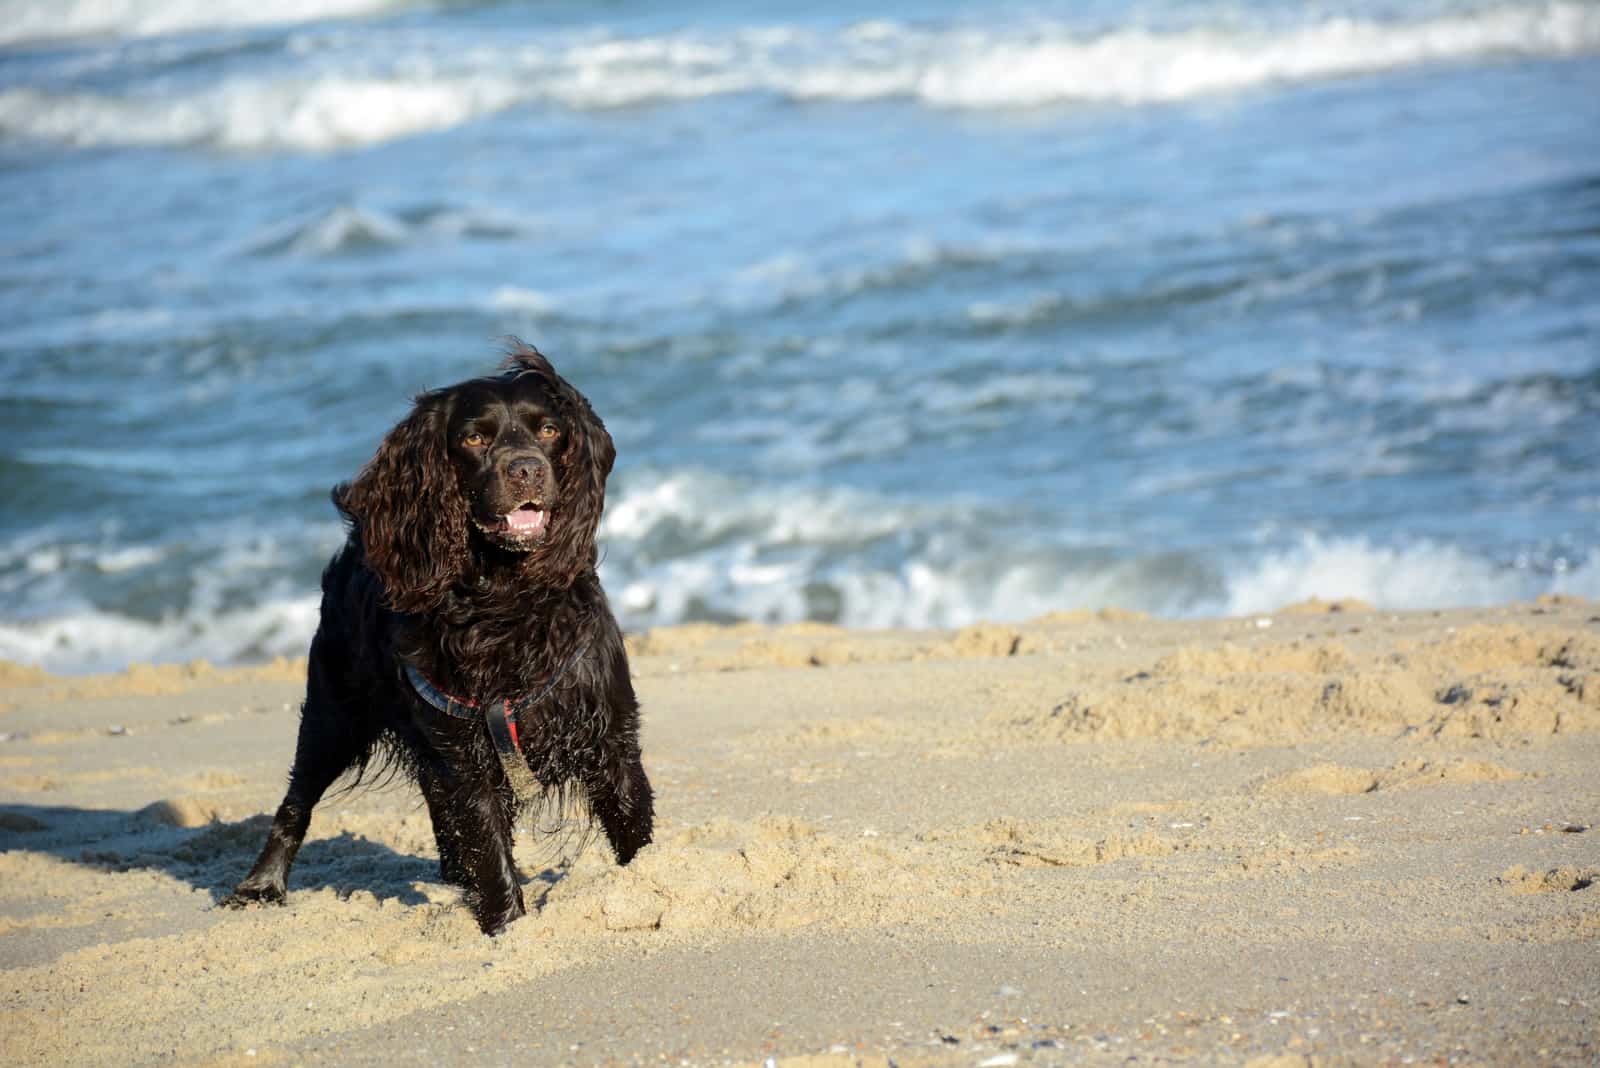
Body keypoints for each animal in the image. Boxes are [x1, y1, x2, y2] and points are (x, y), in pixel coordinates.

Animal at [222, 343, 652, 933]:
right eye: (473, 438)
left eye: (549, 430)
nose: (527, 469)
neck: (504, 602)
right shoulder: (464, 754)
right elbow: (489, 849)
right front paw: (508, 928)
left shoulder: (608, 734)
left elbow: (631, 828)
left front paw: (652, 888)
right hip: (334, 712)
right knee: (297, 799)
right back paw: (261, 884)